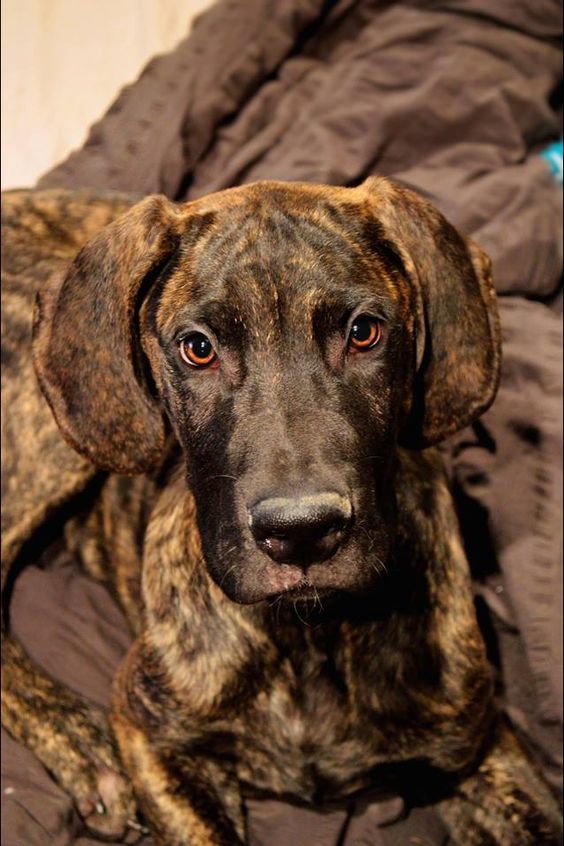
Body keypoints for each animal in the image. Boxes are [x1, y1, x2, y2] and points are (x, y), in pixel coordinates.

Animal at [2, 176, 560, 844]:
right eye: (197, 348)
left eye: (364, 332)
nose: (301, 532)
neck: (308, 637)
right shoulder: (151, 735)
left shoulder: (478, 750)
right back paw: (82, 746)